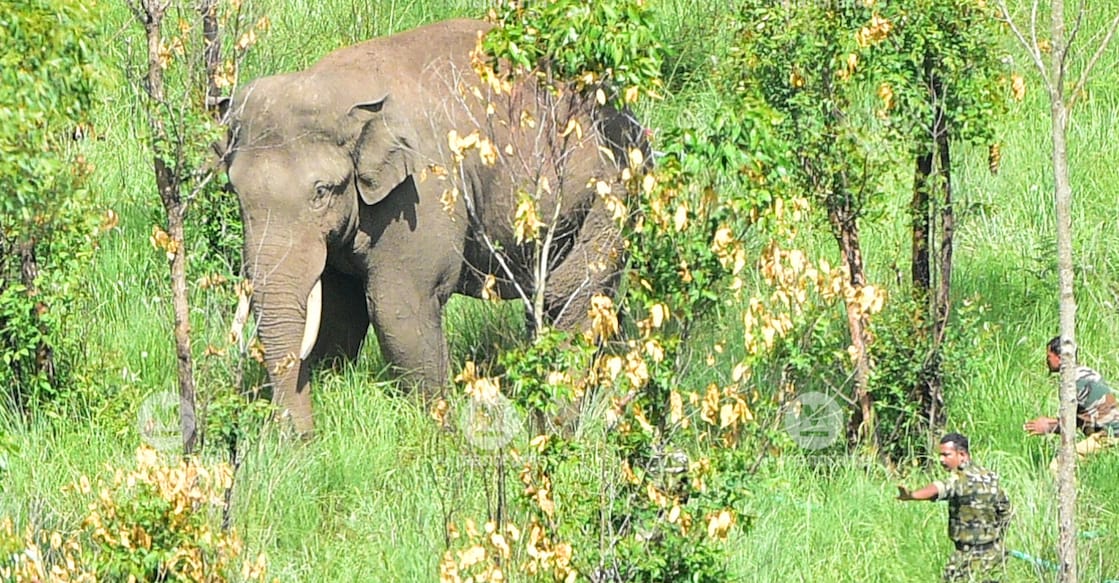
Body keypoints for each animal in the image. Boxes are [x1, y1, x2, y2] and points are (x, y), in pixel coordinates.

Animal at [220, 18, 649, 434]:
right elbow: (340, 311)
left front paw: (439, 435)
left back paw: (557, 428)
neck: (338, 88)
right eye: (235, 191)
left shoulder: (421, 193)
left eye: (321, 192)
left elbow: (398, 306)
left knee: (570, 302)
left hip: (608, 198)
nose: (302, 440)